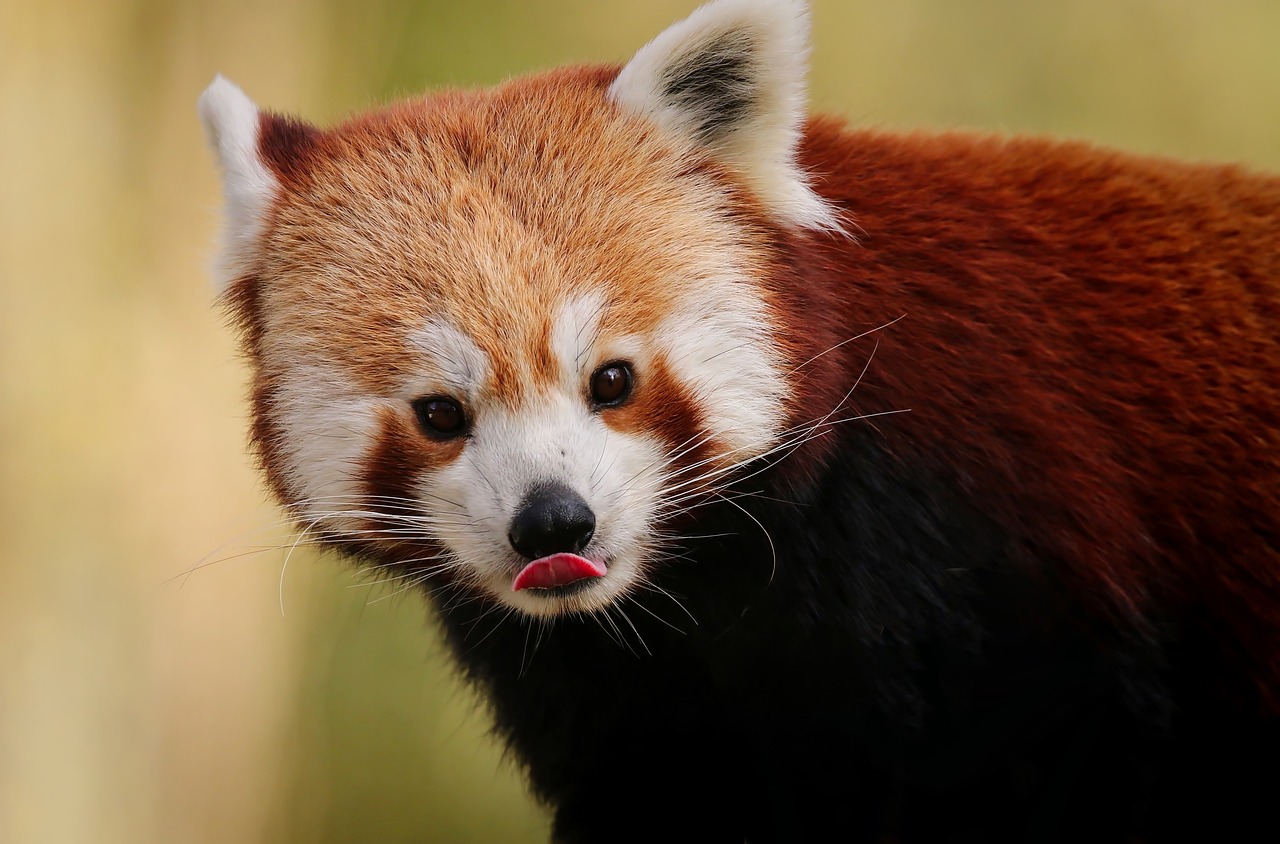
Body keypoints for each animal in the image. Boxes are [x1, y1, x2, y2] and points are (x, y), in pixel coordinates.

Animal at [197, 0, 1280, 840]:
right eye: (439, 412)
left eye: (611, 379)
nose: (553, 523)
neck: (707, 593)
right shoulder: (626, 704)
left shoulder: (1009, 548)